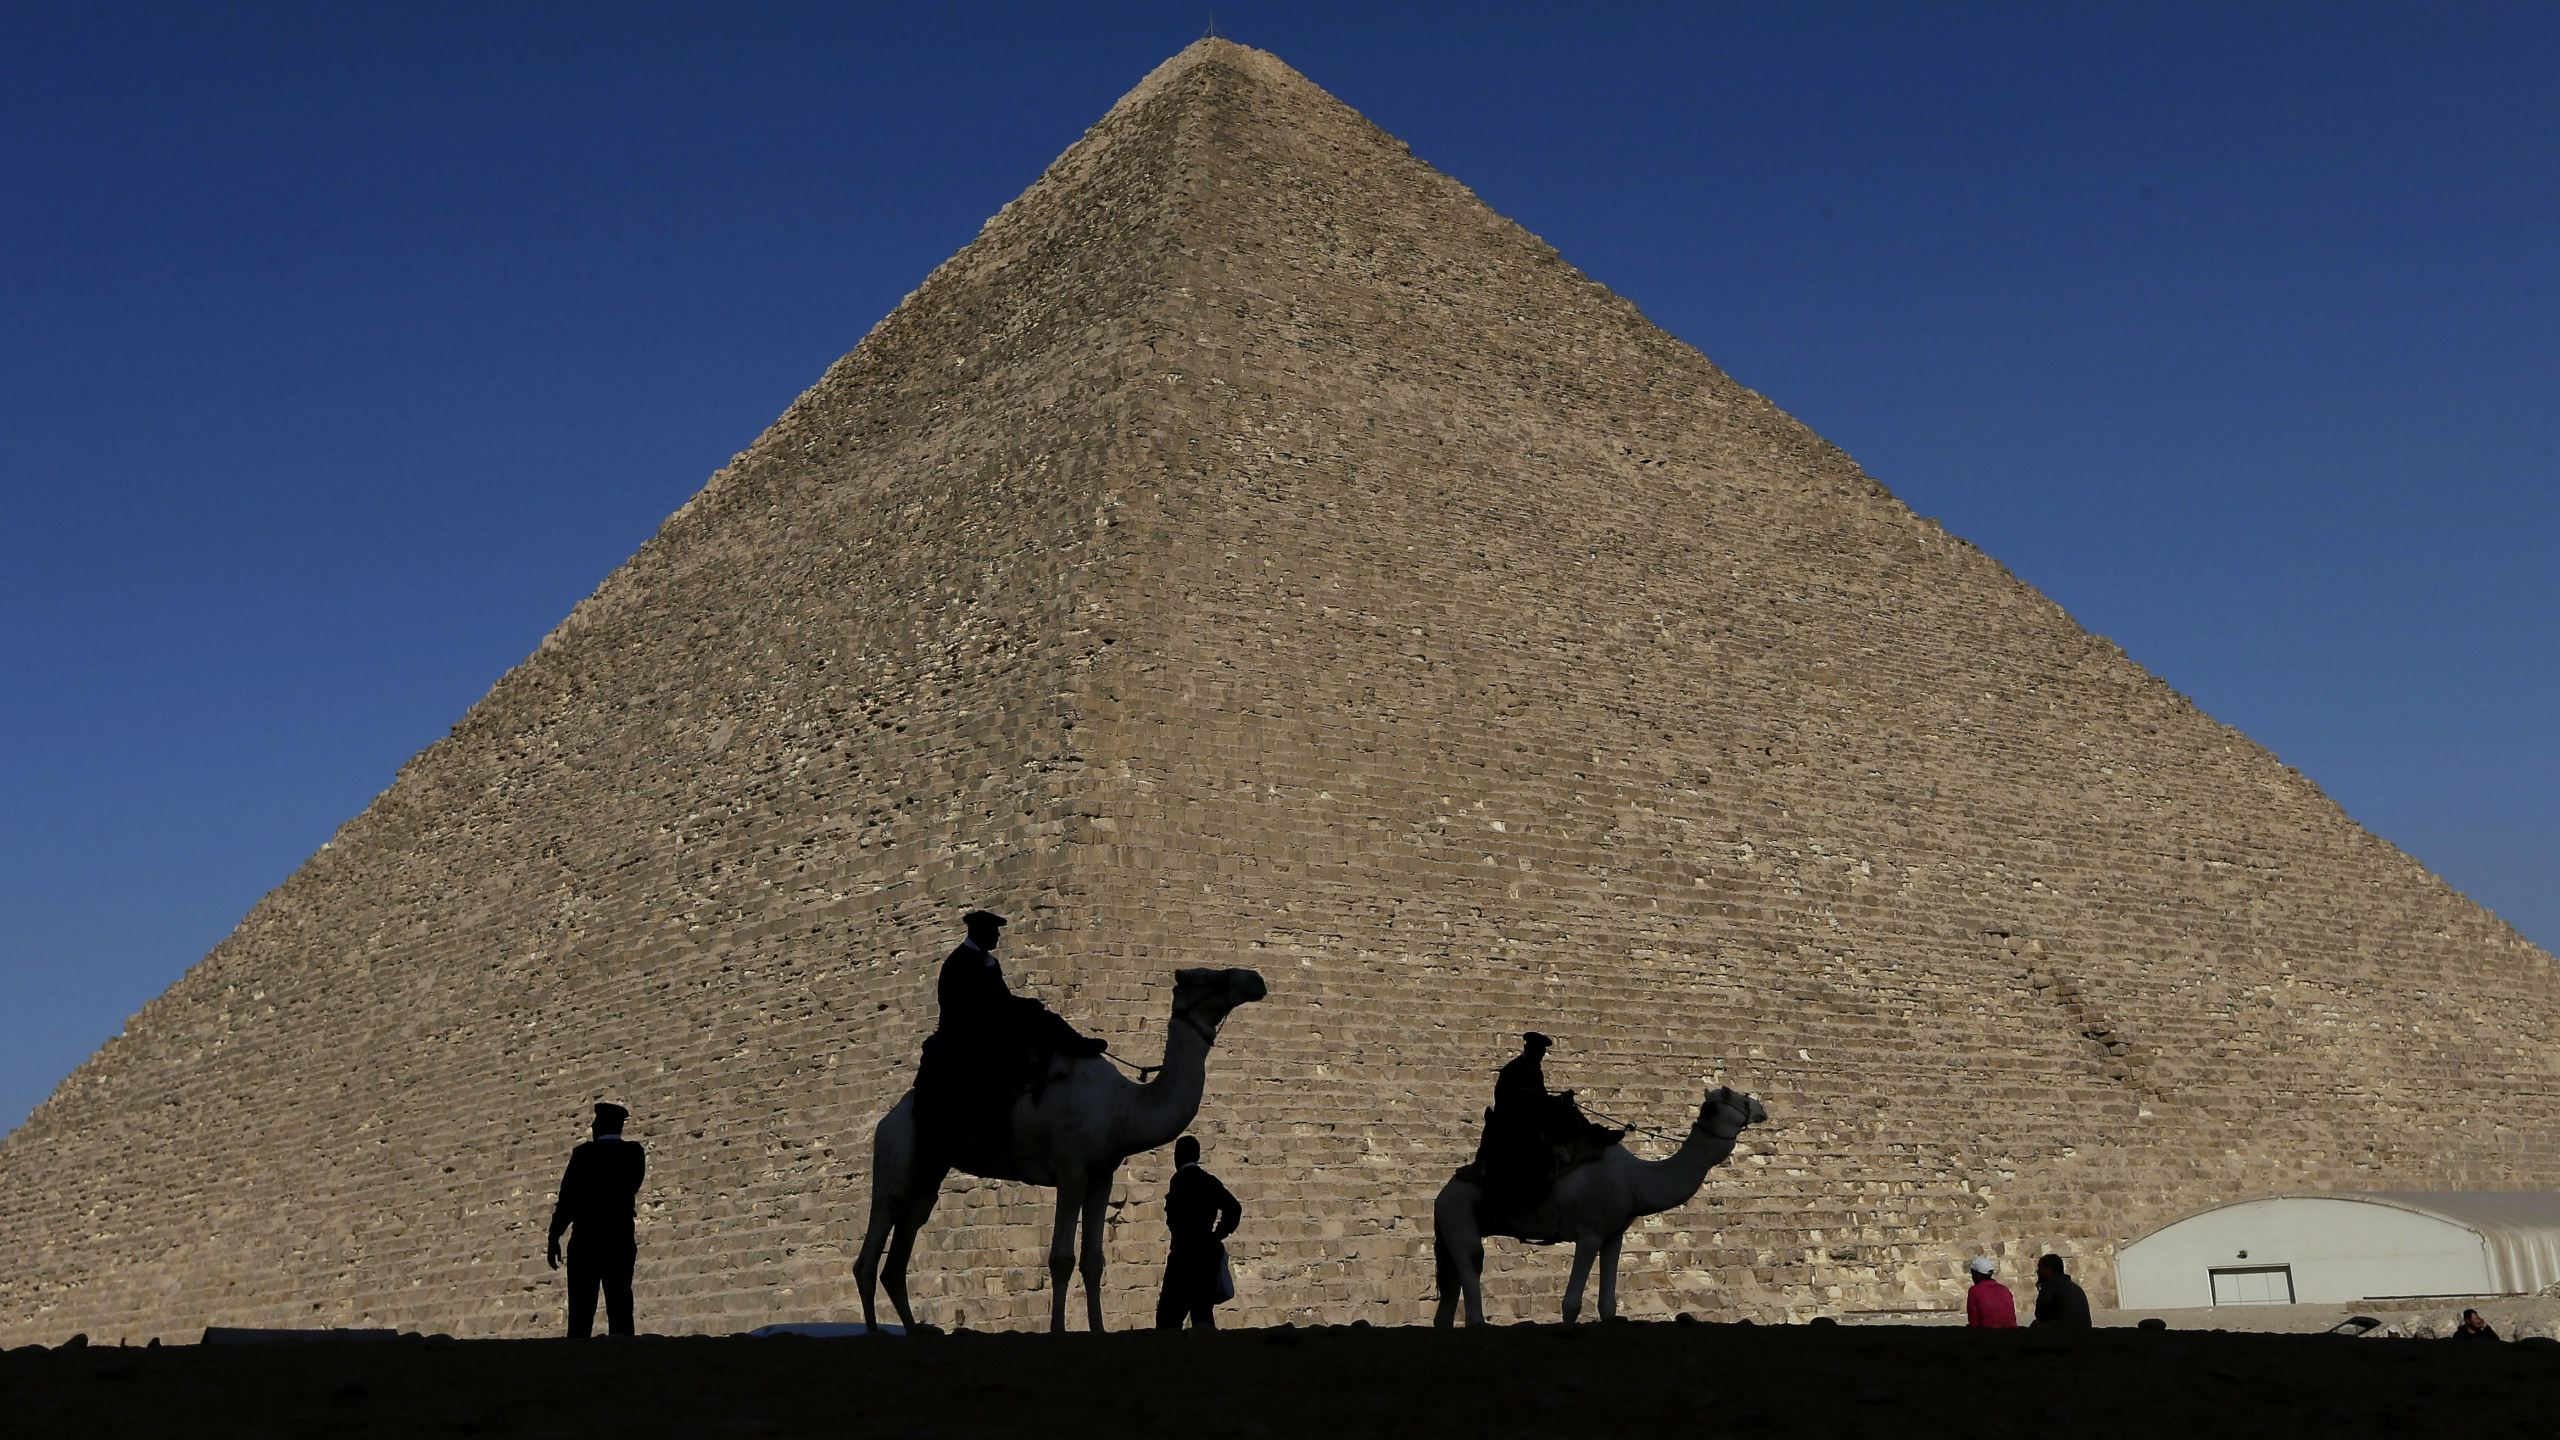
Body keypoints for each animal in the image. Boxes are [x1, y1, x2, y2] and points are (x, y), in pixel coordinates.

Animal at [855, 963, 1264, 1332]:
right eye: (1205, 977)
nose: (1255, 979)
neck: (1124, 1107)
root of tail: (888, 1118)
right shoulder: (1071, 1171)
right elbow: (1061, 1258)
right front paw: (1057, 1330)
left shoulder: (1102, 1175)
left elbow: (1093, 1260)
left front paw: (1098, 1330)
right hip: (895, 1154)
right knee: (871, 1249)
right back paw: (876, 1331)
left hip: (930, 1170)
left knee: (902, 1246)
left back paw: (913, 1330)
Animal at [1433, 1076, 1771, 1322]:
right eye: (1738, 1099)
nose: (1761, 1108)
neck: (1637, 1179)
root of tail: (1440, 1196)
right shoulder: (1589, 1233)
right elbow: (1571, 1303)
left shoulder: (1613, 1235)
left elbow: (1608, 1305)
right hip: (1459, 1214)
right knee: (1473, 1274)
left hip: (1449, 1232)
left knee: (1446, 1306)